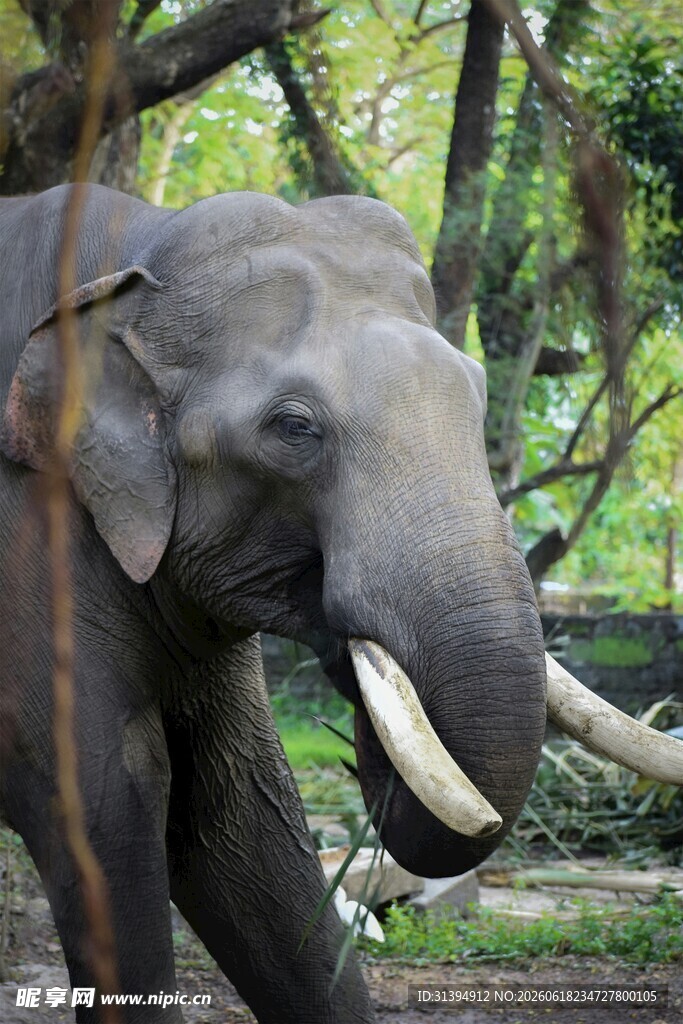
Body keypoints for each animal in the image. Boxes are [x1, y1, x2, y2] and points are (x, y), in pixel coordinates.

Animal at [0, 185, 680, 1023]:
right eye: (293, 428)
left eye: (480, 393)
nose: (361, 749)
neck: (133, 252)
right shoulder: (28, 547)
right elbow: (105, 804)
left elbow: (241, 816)